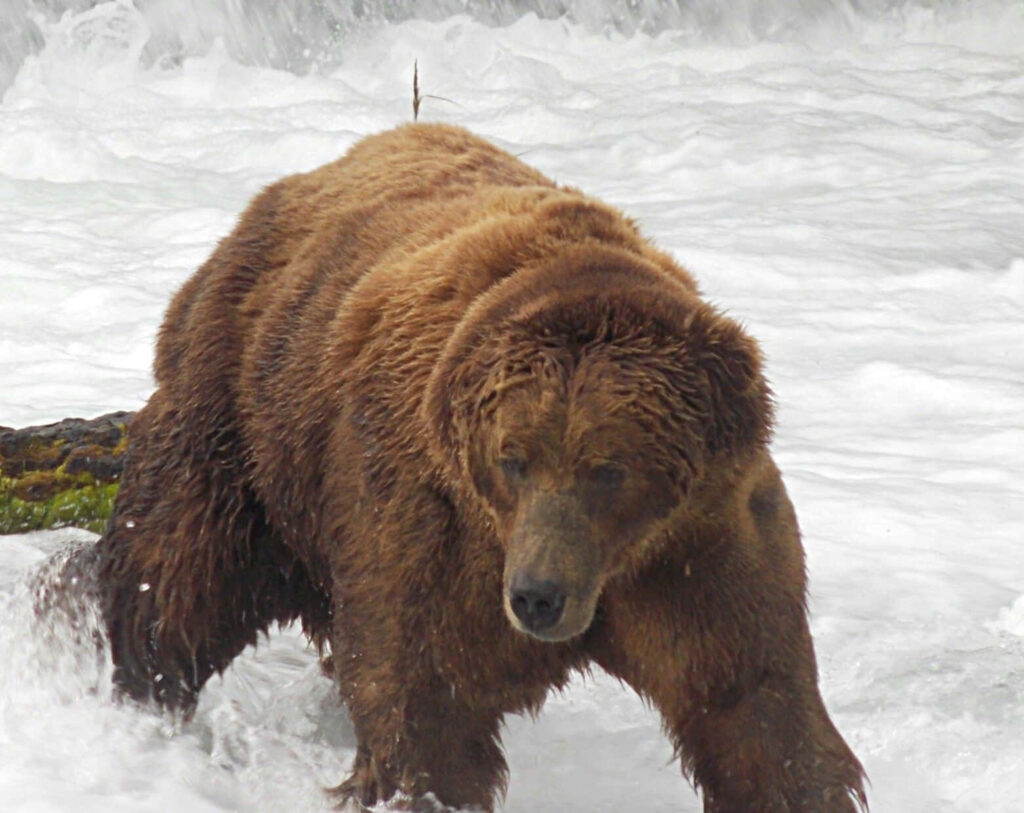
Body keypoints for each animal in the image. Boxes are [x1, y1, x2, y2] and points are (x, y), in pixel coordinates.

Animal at [88, 123, 866, 811]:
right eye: (513, 459)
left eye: (608, 469)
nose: (537, 596)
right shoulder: (433, 531)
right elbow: (424, 709)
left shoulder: (704, 544)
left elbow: (754, 706)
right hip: (246, 418)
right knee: (179, 575)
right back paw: (143, 691)